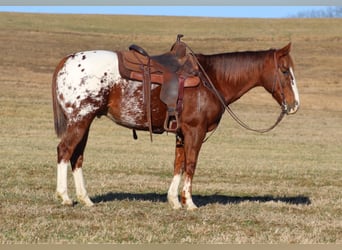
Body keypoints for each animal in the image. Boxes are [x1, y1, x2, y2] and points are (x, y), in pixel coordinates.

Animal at [51, 41, 300, 209]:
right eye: (285, 71)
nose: (295, 104)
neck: (211, 79)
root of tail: (67, 60)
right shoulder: (195, 131)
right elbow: (190, 164)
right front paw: (189, 202)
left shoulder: (181, 133)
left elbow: (178, 164)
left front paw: (174, 200)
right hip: (80, 120)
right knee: (65, 151)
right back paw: (64, 196)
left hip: (85, 122)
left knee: (77, 157)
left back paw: (85, 199)